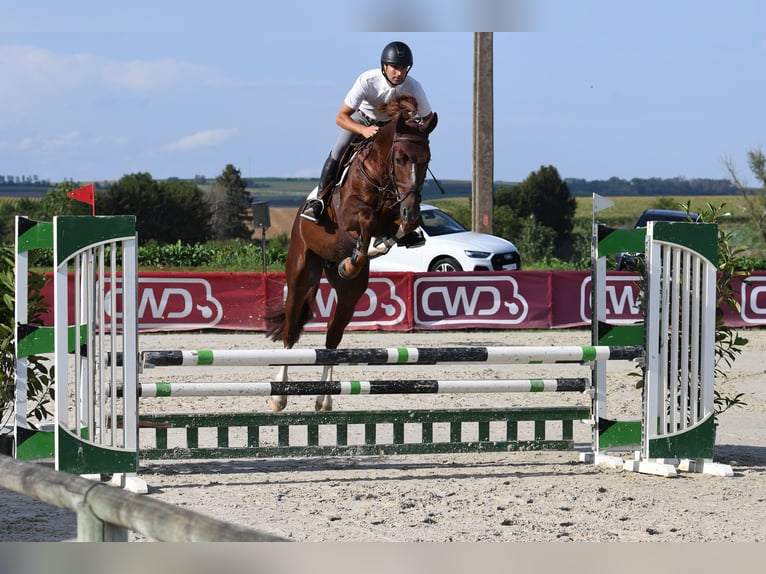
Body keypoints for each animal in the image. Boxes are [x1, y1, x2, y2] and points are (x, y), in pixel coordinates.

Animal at [264, 95, 438, 410]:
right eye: (400, 158)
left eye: (426, 159)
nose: (412, 207)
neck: (382, 177)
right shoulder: (349, 215)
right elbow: (366, 219)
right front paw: (361, 254)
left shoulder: (396, 214)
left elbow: (400, 227)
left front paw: (372, 249)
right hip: (301, 274)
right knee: (290, 331)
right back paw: (279, 396)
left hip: (349, 294)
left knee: (332, 339)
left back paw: (324, 399)